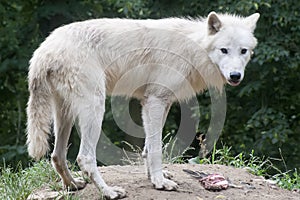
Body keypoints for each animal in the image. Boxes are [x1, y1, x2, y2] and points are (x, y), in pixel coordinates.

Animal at [26, 12, 260, 198]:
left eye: (243, 51)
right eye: (224, 50)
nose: (236, 76)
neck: (192, 49)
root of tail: (43, 50)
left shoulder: (159, 103)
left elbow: (148, 147)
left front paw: (154, 177)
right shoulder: (155, 101)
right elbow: (156, 148)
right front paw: (160, 183)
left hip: (64, 113)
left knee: (57, 155)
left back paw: (73, 185)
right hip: (95, 108)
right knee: (84, 158)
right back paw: (109, 192)